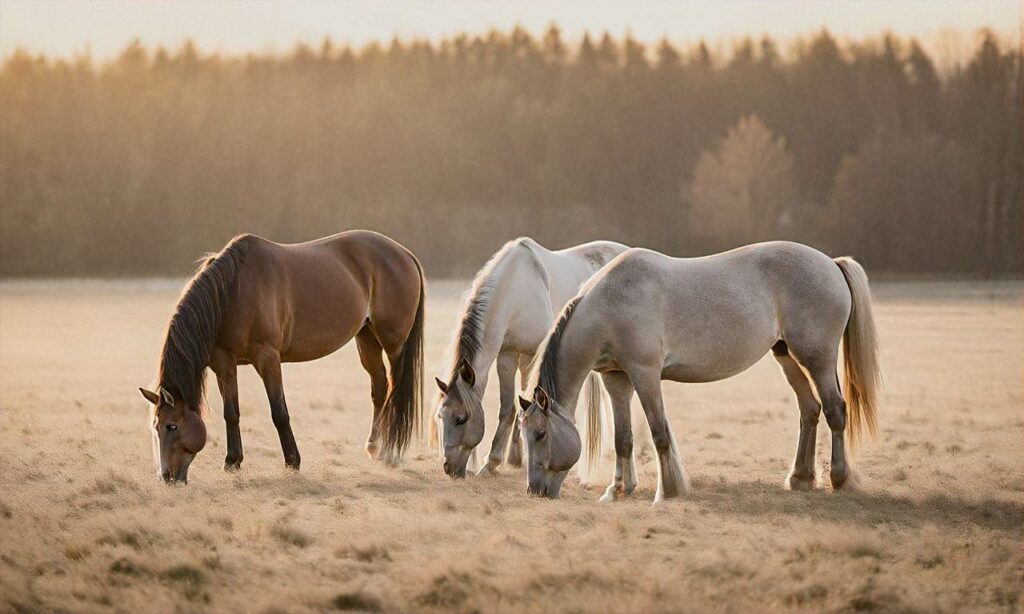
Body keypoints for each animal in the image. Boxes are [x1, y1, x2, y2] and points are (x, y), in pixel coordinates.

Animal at [138, 231, 421, 485]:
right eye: (156, 426)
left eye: (171, 426)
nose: (167, 477)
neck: (232, 292)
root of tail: (405, 254)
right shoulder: (224, 364)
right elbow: (232, 413)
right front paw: (232, 462)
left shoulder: (268, 359)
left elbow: (279, 413)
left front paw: (293, 462)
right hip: (366, 338)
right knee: (379, 389)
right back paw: (374, 446)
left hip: (394, 344)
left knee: (396, 391)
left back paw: (390, 453)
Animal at [430, 237, 622, 476]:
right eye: (440, 416)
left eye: (461, 419)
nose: (449, 467)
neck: (514, 290)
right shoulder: (507, 356)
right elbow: (510, 407)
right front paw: (504, 460)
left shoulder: (531, 356)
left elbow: (528, 399)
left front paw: (499, 460)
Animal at [520, 239, 880, 499]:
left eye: (540, 434)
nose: (535, 491)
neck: (611, 301)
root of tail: (831, 263)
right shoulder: (616, 379)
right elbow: (624, 438)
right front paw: (619, 489)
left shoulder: (645, 375)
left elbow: (659, 434)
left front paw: (668, 491)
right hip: (787, 356)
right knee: (810, 409)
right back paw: (800, 478)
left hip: (817, 359)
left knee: (835, 410)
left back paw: (839, 478)